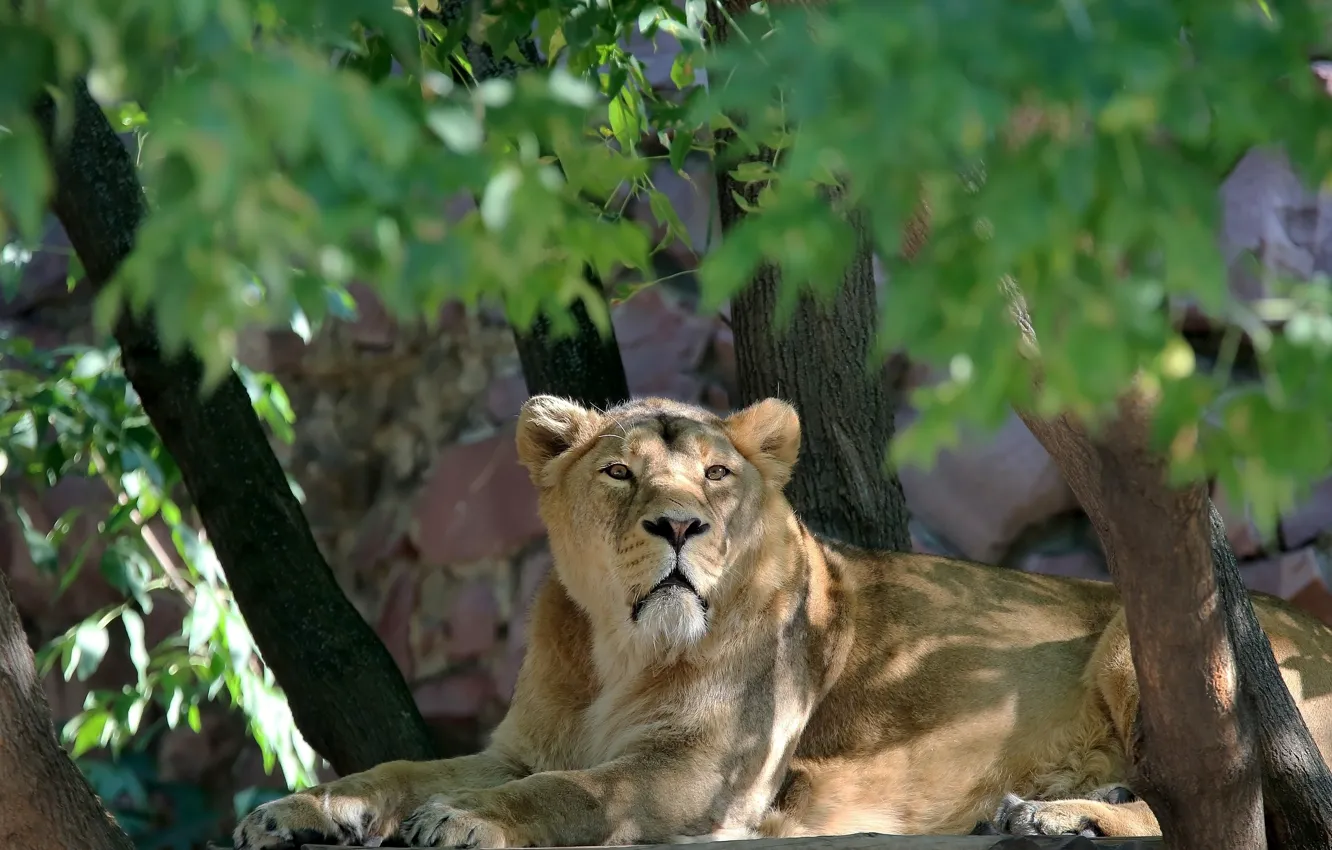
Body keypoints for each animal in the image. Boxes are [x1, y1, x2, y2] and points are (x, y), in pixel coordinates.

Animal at [234, 394, 1332, 848]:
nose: (680, 525)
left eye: (717, 473)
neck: (620, 650)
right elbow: (401, 768)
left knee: (1223, 811)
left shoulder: (704, 771)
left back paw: (1061, 817)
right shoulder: (516, 744)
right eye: (620, 472)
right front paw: (301, 811)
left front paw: (471, 824)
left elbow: (574, 792)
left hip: (1147, 639)